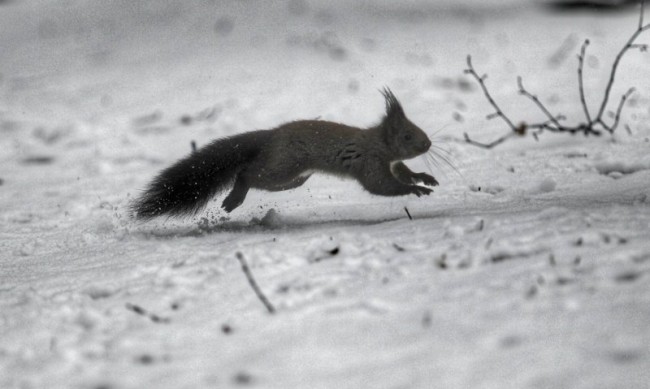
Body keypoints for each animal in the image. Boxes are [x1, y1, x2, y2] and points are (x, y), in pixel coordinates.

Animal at [130, 88, 436, 220]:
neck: (378, 142)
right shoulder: (371, 162)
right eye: (407, 135)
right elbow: (382, 186)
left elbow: (403, 172)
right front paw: (416, 190)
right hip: (284, 166)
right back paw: (234, 198)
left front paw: (424, 177)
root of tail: (271, 136)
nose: (429, 144)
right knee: (247, 173)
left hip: (292, 178)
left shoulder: (392, 162)